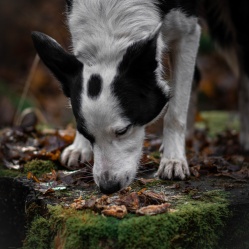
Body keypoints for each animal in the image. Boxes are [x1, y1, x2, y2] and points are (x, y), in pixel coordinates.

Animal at [31, 0, 249, 195]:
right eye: (87, 134)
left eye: (123, 131)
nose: (108, 188)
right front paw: (80, 147)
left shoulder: (188, 31)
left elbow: (175, 113)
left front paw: (173, 160)